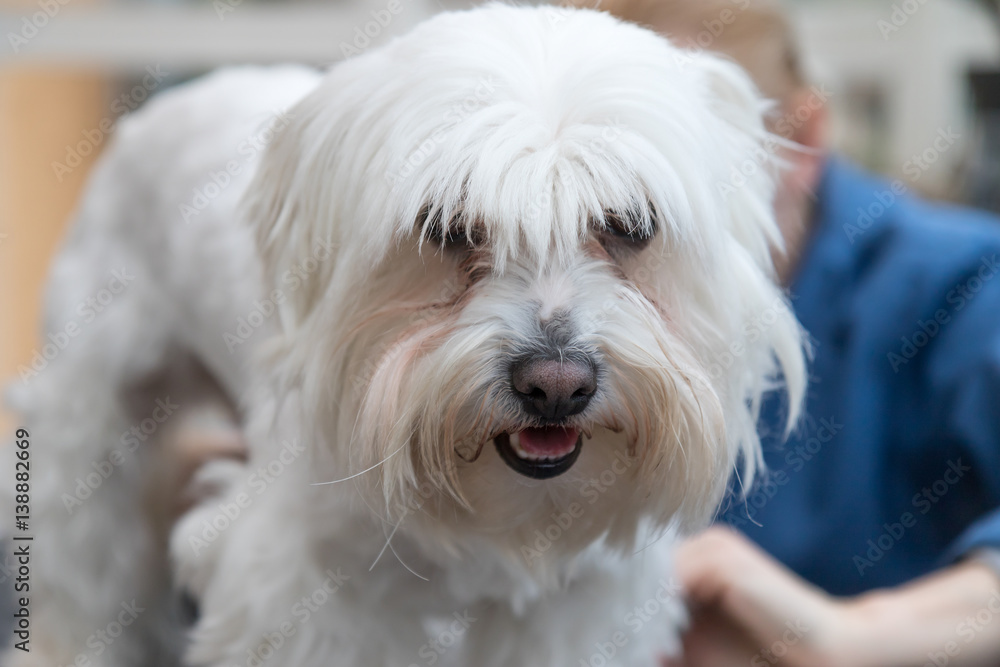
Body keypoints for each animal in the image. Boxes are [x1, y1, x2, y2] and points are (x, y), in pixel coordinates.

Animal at [1, 6, 804, 667]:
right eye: (446, 227)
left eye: (631, 224)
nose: (555, 384)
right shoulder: (301, 596)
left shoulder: (573, 613)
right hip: (87, 442)